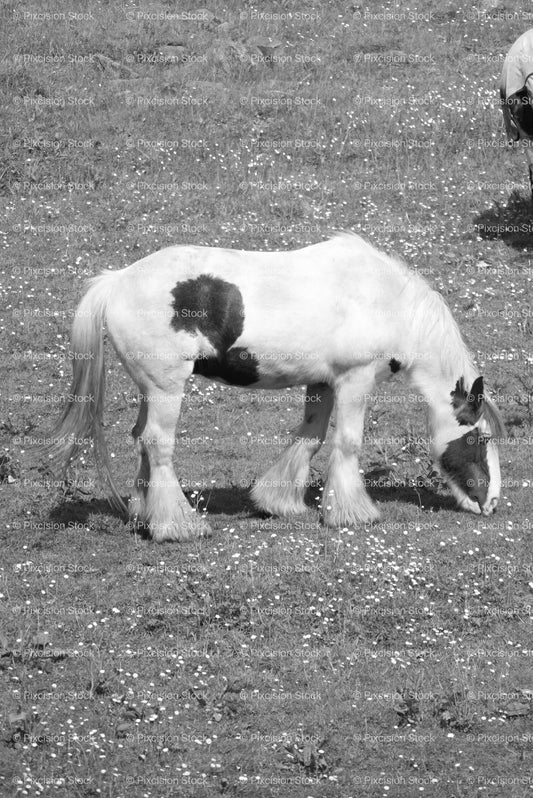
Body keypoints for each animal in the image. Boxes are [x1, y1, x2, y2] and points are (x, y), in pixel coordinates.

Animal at [45, 233, 505, 542]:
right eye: (478, 439)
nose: (491, 503)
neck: (384, 299)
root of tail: (116, 281)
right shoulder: (355, 379)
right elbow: (348, 442)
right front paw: (353, 513)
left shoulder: (323, 382)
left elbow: (311, 438)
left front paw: (280, 501)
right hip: (165, 387)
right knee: (158, 444)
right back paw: (178, 525)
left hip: (150, 389)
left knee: (141, 439)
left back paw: (147, 516)